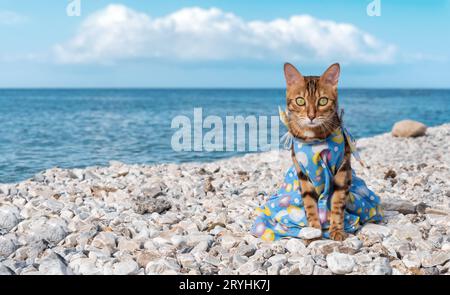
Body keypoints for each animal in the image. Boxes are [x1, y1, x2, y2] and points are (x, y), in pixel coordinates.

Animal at [284, 63, 350, 243]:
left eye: (323, 101)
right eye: (300, 101)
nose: (311, 116)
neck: (314, 139)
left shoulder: (342, 171)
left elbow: (337, 204)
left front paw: (336, 230)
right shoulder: (302, 173)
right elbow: (310, 204)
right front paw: (313, 230)